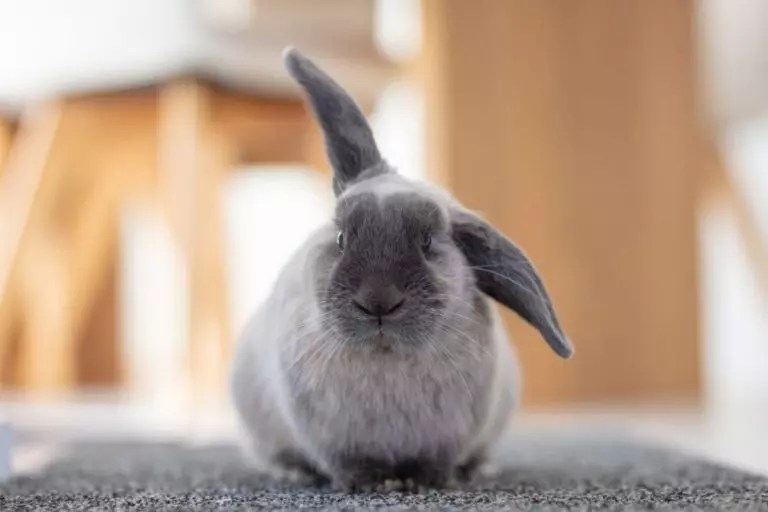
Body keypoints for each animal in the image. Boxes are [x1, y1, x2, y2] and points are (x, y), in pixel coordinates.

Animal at [230, 47, 573, 491]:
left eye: (428, 243)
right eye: (340, 239)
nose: (378, 301)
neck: (387, 356)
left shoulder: (444, 442)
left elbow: (434, 465)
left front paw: (420, 482)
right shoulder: (335, 446)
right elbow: (350, 466)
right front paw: (374, 483)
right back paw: (292, 471)